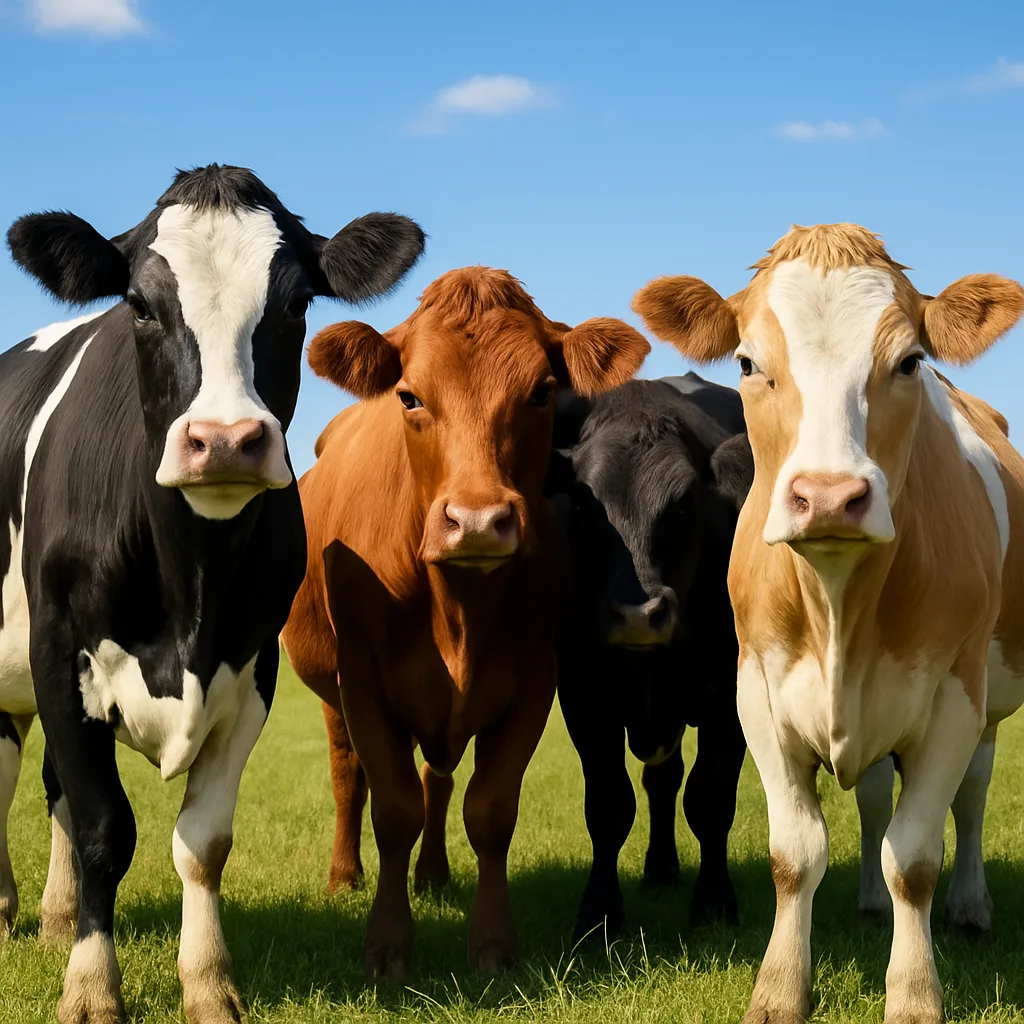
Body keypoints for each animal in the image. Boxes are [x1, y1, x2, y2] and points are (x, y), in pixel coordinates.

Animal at [0, 164, 424, 1024]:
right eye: (138, 303)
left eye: (296, 304)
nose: (225, 440)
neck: (187, 595)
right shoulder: (59, 656)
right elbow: (104, 830)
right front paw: (92, 990)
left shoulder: (251, 671)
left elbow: (202, 843)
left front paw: (207, 983)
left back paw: (56, 920)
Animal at [280, 266, 650, 978]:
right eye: (409, 396)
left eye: (541, 392)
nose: (477, 520)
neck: (457, 607)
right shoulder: (361, 679)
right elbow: (392, 807)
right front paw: (387, 945)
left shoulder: (534, 680)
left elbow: (488, 809)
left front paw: (493, 945)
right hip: (333, 694)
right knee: (348, 775)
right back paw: (345, 876)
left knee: (438, 778)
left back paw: (432, 874)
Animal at [548, 374, 752, 943]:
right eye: (583, 505)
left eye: (684, 502)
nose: (638, 615)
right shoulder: (583, 697)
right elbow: (608, 805)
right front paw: (599, 912)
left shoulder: (729, 697)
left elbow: (710, 798)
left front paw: (714, 902)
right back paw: (659, 869)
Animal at [632, 222, 1024, 1023]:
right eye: (748, 362)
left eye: (909, 362)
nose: (829, 496)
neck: (839, 597)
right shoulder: (756, 694)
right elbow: (796, 855)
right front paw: (779, 989)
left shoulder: (954, 700)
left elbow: (916, 857)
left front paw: (914, 994)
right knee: (873, 798)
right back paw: (871, 906)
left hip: (987, 698)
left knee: (971, 798)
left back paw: (971, 908)